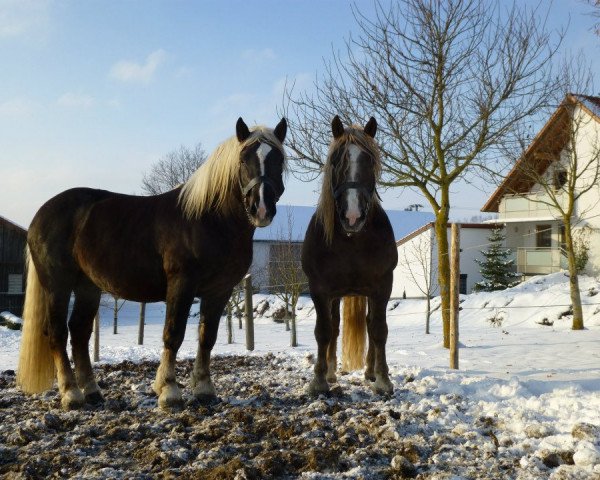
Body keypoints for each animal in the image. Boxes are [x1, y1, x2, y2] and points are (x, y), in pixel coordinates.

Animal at [17, 116, 288, 408]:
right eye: (243, 159)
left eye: (278, 159)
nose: (261, 209)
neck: (209, 219)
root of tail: (41, 215)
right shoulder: (181, 285)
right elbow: (173, 334)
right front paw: (169, 391)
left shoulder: (220, 291)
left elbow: (207, 337)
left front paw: (204, 389)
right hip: (58, 285)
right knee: (57, 333)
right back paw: (71, 394)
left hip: (88, 286)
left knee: (79, 331)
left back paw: (92, 391)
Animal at [304, 114, 398, 396]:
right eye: (336, 161)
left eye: (370, 161)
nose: (352, 215)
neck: (351, 240)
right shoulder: (320, 289)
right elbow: (324, 331)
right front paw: (319, 380)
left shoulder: (382, 287)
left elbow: (378, 330)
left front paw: (383, 379)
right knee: (334, 326)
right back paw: (331, 371)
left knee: (368, 323)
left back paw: (369, 371)